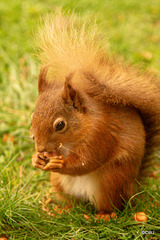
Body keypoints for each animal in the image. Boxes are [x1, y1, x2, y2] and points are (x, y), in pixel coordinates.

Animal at [30, 13, 160, 213]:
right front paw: (36, 159)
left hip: (111, 179)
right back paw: (63, 209)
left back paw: (103, 215)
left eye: (60, 125)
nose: (41, 148)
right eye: (32, 116)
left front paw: (61, 163)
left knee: (110, 206)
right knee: (72, 203)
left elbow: (86, 162)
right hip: (59, 182)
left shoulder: (101, 135)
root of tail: (133, 187)